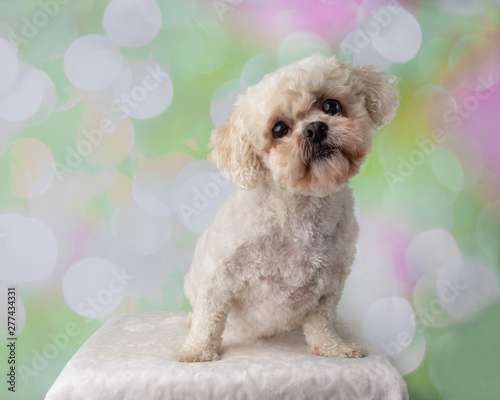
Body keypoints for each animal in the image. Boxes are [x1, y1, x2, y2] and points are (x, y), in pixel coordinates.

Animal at [178, 54, 396, 362]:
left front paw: (333, 348)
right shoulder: (217, 276)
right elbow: (208, 318)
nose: (315, 128)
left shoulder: (329, 286)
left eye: (332, 106)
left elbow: (321, 322)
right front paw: (197, 351)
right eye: (279, 129)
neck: (299, 210)